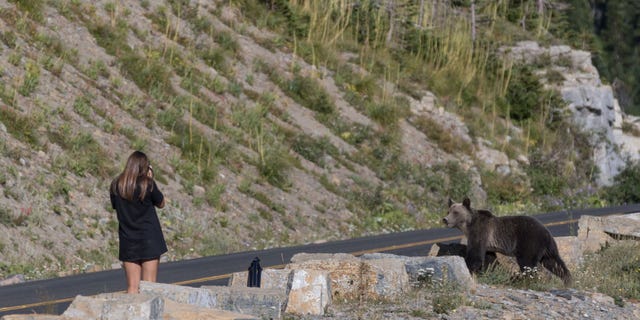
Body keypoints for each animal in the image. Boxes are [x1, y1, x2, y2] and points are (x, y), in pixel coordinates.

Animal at [442, 198, 572, 284]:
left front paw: (468, 268)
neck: (468, 225)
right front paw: (490, 271)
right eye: (448, 211)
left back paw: (523, 279)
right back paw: (567, 280)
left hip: (529, 241)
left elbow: (475, 255)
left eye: (456, 212)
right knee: (554, 262)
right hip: (548, 248)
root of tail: (546, 232)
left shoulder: (480, 232)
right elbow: (490, 258)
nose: (445, 219)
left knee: (527, 263)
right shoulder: (488, 244)